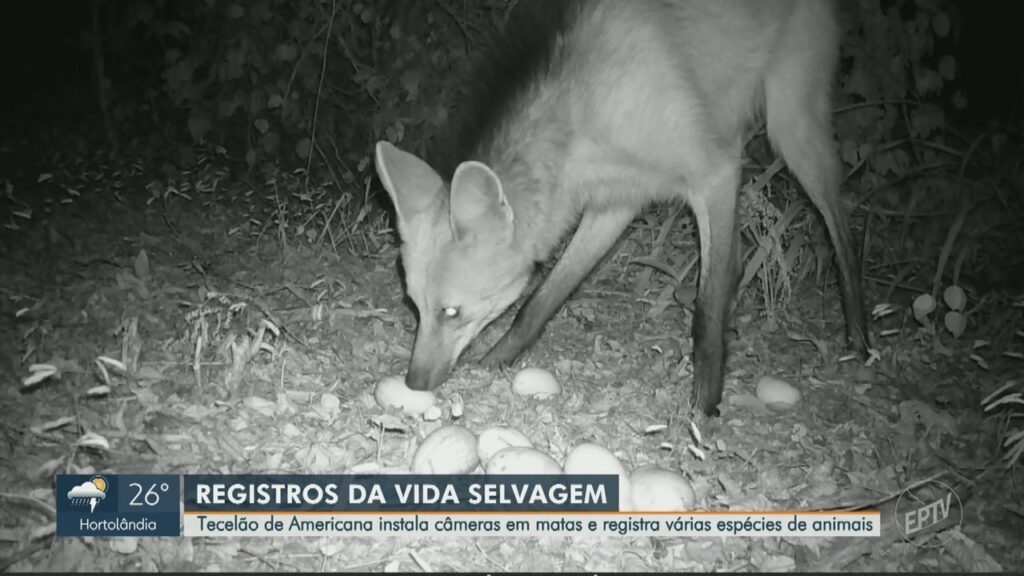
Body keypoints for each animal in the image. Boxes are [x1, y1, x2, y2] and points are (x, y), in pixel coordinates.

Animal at [372, 0, 868, 412]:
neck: (584, 115)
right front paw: (497, 361)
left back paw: (860, 337)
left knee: (838, 219)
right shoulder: (613, 204)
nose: (414, 382)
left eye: (451, 312)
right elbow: (540, 302)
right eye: (414, 306)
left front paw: (704, 410)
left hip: (791, 127)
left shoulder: (716, 170)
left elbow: (706, 314)